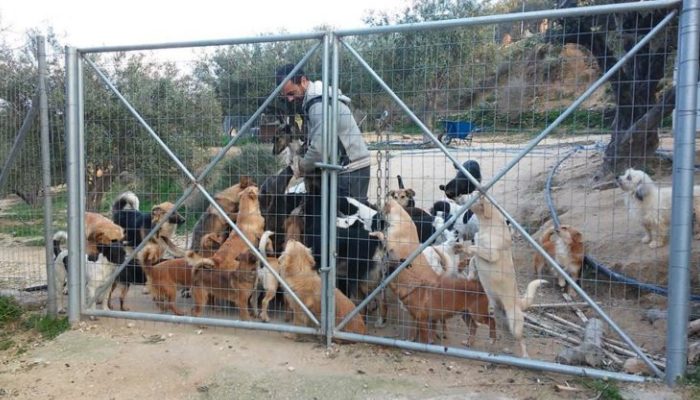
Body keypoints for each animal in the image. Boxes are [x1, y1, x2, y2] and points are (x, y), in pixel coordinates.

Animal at [464, 195, 548, 358]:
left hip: (514, 322)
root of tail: (520, 303)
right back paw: (504, 348)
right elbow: (472, 260)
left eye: (474, 196)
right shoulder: (479, 254)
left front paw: (463, 249)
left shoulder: (490, 253)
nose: (462, 196)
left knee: (521, 339)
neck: (487, 225)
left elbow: (473, 248)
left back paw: (524, 356)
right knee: (506, 336)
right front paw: (470, 274)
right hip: (500, 319)